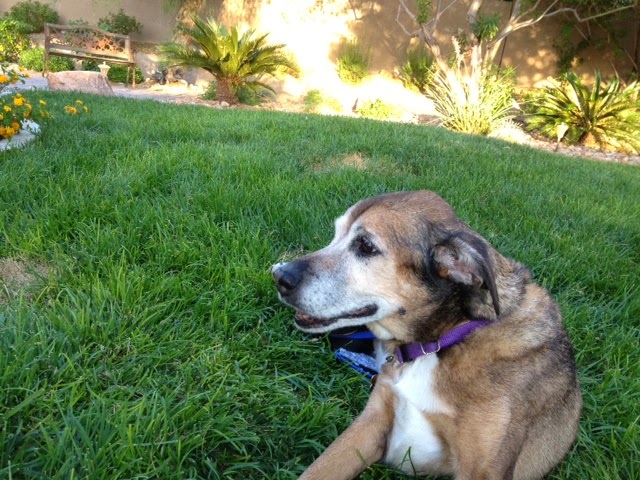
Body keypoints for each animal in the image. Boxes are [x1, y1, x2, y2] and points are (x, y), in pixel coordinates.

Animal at [272, 191, 582, 480]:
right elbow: (317, 470)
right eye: (336, 234)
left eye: (366, 246)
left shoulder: (482, 469)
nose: (279, 276)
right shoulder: (371, 423)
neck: (441, 341)